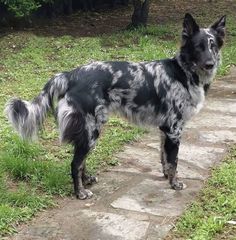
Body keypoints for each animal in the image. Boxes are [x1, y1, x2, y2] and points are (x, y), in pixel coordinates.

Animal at [5, 14, 227, 200]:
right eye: (198, 46)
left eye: (213, 46)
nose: (210, 64)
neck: (182, 72)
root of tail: (70, 74)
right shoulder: (174, 129)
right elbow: (174, 161)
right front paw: (174, 183)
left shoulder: (165, 129)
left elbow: (164, 158)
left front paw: (166, 176)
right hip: (92, 129)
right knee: (75, 163)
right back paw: (80, 192)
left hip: (89, 130)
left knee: (81, 161)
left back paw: (86, 181)